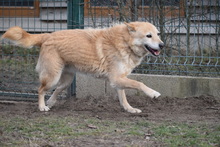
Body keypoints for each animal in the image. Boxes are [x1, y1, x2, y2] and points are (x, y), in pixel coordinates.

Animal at [1, 21, 163, 113]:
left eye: (158, 34)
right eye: (148, 36)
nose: (162, 45)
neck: (125, 42)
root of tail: (47, 35)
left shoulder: (118, 80)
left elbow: (123, 98)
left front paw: (130, 110)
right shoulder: (116, 79)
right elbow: (139, 83)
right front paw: (153, 93)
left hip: (66, 81)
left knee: (57, 90)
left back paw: (51, 102)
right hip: (52, 77)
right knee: (40, 90)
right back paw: (42, 107)